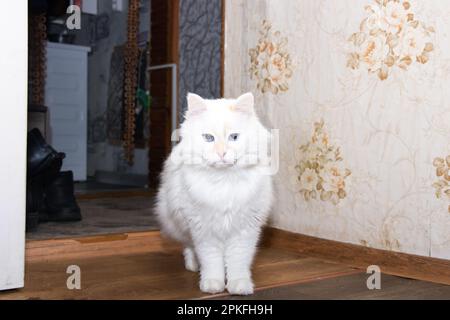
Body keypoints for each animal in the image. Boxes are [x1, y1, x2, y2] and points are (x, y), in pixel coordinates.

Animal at [156, 92, 272, 296]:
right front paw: (212, 285)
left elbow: (238, 262)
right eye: (208, 138)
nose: (221, 153)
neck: (224, 180)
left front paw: (239, 286)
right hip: (178, 223)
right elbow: (212, 261)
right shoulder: (204, 230)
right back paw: (193, 266)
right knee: (189, 247)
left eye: (234, 137)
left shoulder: (245, 230)